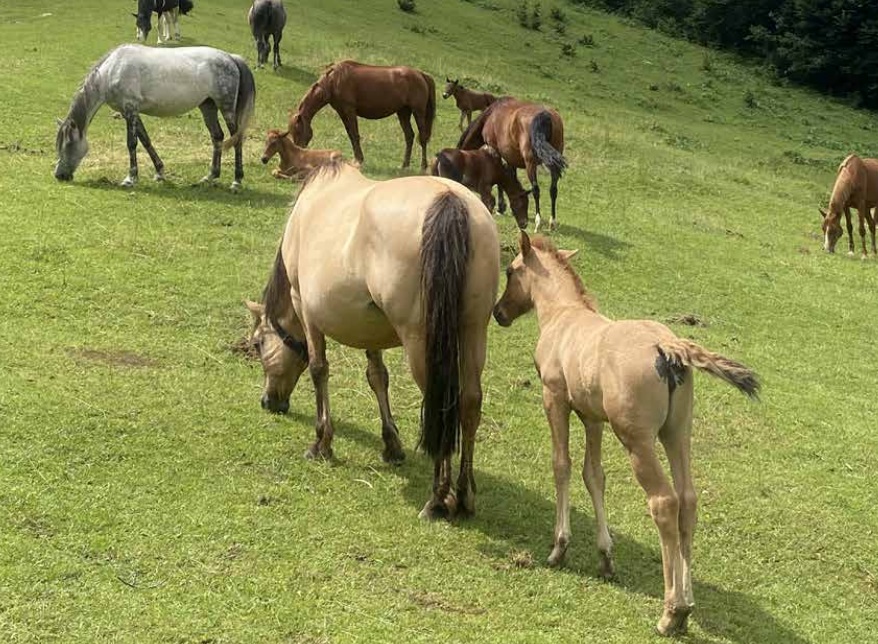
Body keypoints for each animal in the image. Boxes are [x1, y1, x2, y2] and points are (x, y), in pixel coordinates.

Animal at [54, 44, 255, 191]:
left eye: (69, 144)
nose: (59, 175)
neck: (112, 71)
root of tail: (230, 58)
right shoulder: (131, 113)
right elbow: (145, 140)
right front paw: (159, 173)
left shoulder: (130, 109)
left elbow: (132, 143)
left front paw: (130, 179)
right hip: (208, 106)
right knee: (217, 137)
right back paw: (209, 176)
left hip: (226, 107)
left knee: (236, 138)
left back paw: (236, 181)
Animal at [245, 161, 499, 520]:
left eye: (257, 345)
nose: (268, 401)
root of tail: (449, 200)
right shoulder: (371, 325)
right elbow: (378, 377)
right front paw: (391, 444)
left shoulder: (305, 308)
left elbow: (318, 369)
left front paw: (322, 442)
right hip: (474, 330)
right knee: (469, 401)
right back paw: (464, 494)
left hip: (420, 341)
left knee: (440, 403)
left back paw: (438, 497)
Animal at [288, 60, 436, 170]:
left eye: (298, 131)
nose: (298, 154)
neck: (333, 81)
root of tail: (421, 74)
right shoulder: (342, 112)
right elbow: (350, 135)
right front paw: (356, 159)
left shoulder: (349, 110)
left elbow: (355, 134)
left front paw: (359, 160)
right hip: (403, 112)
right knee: (409, 136)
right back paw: (404, 165)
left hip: (418, 112)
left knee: (422, 137)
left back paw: (423, 166)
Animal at [459, 97, 566, 232]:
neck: (491, 115)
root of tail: (545, 115)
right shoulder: (511, 158)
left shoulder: (496, 151)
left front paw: (501, 208)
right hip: (553, 163)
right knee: (553, 190)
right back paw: (552, 222)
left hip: (531, 164)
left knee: (536, 190)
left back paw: (538, 222)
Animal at [493, 231, 760, 637]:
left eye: (510, 270)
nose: (499, 312)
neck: (564, 314)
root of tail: (669, 347)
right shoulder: (593, 418)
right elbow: (594, 475)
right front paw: (605, 556)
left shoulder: (554, 399)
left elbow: (562, 466)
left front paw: (559, 548)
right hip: (676, 433)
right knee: (688, 501)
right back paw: (687, 605)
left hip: (637, 440)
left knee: (664, 502)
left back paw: (672, 612)